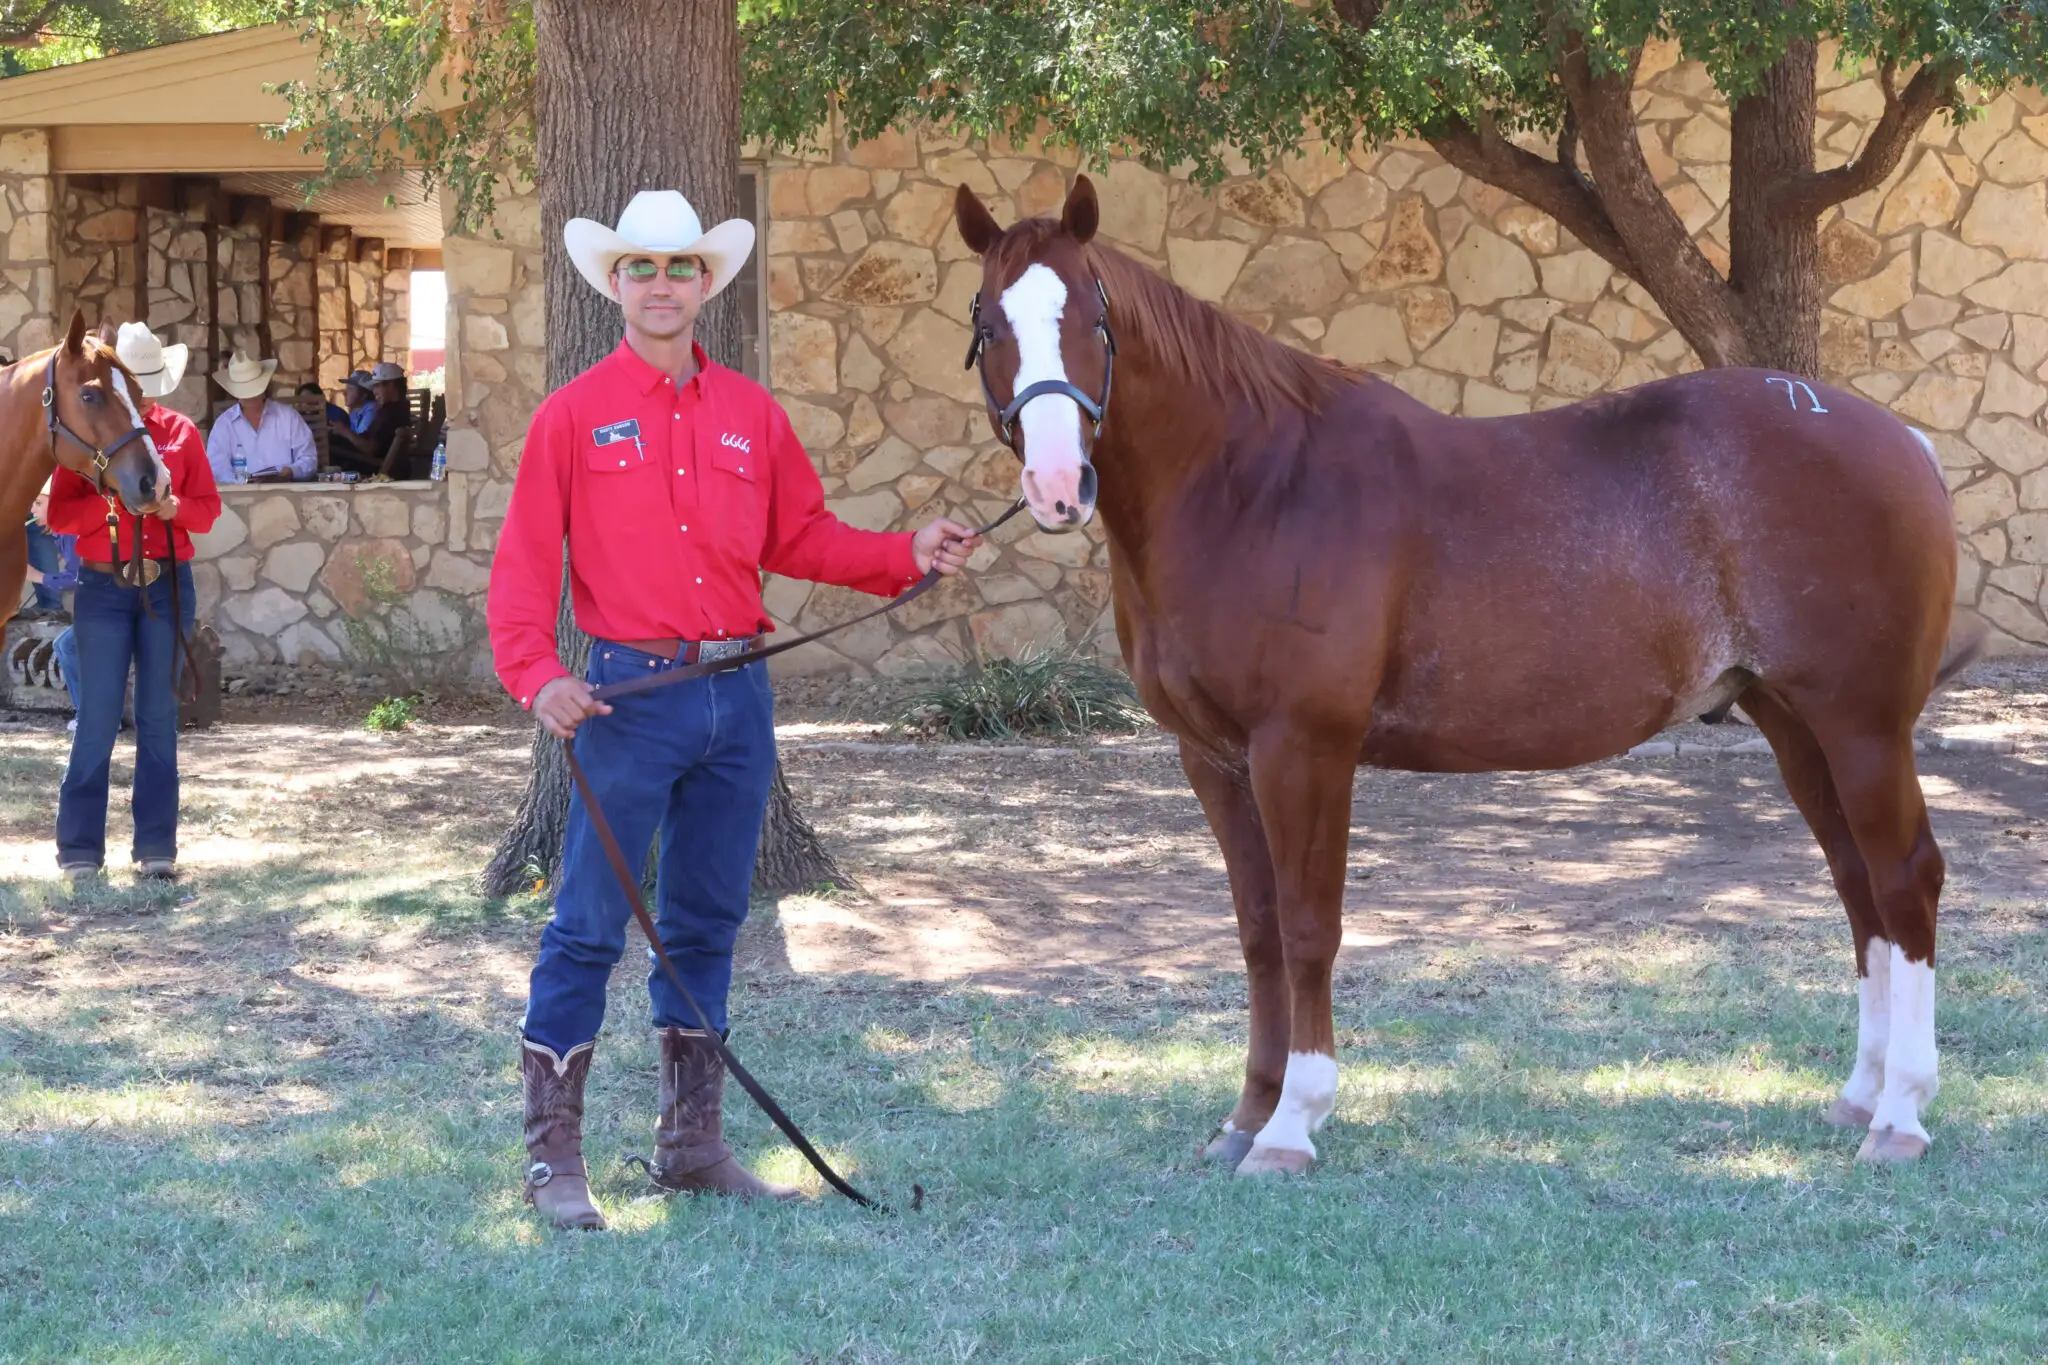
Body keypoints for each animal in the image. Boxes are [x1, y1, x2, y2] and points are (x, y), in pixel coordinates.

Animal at [953, 174, 1984, 1175]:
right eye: (989, 323)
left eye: (1092, 318)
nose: (1057, 485)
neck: (1255, 487)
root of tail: (1902, 440)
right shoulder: (1213, 757)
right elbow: (1256, 930)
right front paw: (1246, 1116)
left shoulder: (1304, 749)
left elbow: (1308, 927)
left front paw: (1294, 1125)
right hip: (1794, 723)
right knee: (1857, 885)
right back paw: (1859, 1095)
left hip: (1862, 726)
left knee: (1904, 879)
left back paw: (1901, 1115)